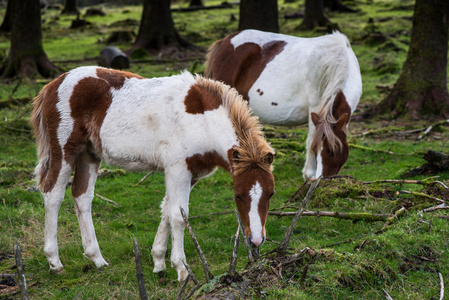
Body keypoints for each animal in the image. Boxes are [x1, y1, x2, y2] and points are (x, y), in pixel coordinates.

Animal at [30, 66, 272, 282]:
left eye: (271, 194)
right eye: (238, 195)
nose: (256, 239)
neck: (203, 119)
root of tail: (52, 85)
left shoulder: (191, 173)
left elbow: (166, 209)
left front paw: (158, 262)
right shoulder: (177, 169)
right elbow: (178, 216)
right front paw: (181, 269)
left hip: (89, 154)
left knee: (82, 196)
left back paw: (97, 259)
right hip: (66, 150)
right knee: (53, 194)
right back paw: (55, 262)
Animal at [205, 29, 362, 180]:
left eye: (333, 152)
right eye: (320, 150)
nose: (321, 180)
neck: (336, 62)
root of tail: (225, 41)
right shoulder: (316, 108)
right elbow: (311, 137)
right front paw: (308, 174)